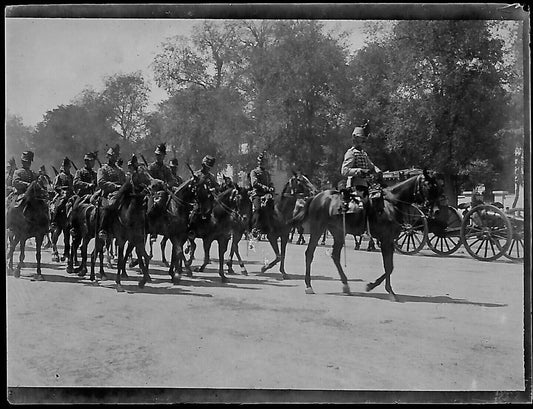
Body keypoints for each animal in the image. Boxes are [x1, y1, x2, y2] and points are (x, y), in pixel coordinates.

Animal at [288, 169, 442, 300]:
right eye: (428, 186)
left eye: (438, 187)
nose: (436, 211)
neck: (391, 204)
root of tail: (316, 196)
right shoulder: (386, 239)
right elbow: (389, 266)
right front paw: (378, 288)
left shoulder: (389, 241)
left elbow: (390, 266)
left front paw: (383, 288)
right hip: (317, 229)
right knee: (309, 253)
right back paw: (309, 286)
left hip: (338, 232)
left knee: (335, 255)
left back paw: (345, 285)